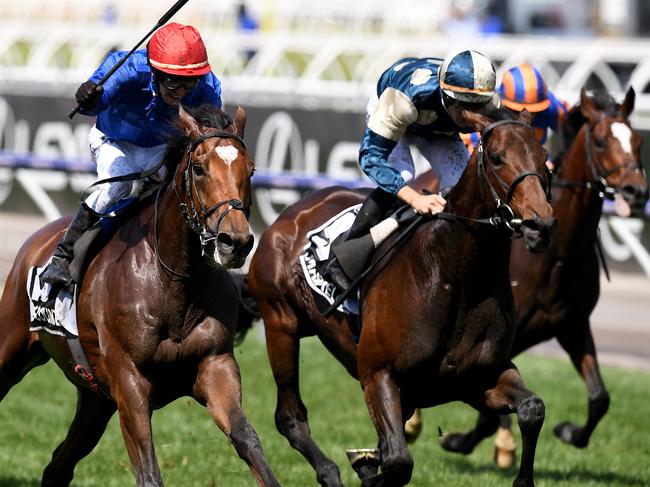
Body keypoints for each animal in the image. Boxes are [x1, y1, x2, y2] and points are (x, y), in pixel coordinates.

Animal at [0, 105, 278, 486]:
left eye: (250, 170)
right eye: (199, 168)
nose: (234, 242)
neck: (174, 282)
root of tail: (34, 243)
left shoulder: (215, 364)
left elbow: (248, 441)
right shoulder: (129, 381)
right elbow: (148, 471)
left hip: (95, 399)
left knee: (58, 466)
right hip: (12, 347)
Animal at [246, 107, 556, 487]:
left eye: (545, 158)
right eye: (497, 158)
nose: (540, 225)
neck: (454, 276)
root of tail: (290, 214)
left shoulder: (477, 378)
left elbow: (533, 409)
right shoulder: (378, 374)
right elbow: (396, 461)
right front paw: (365, 468)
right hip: (281, 324)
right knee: (290, 417)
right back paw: (330, 472)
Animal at [408, 86, 644, 468]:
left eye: (638, 140)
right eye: (600, 141)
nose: (636, 192)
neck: (559, 255)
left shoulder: (573, 324)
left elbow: (599, 398)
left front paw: (569, 432)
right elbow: (489, 411)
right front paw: (464, 441)